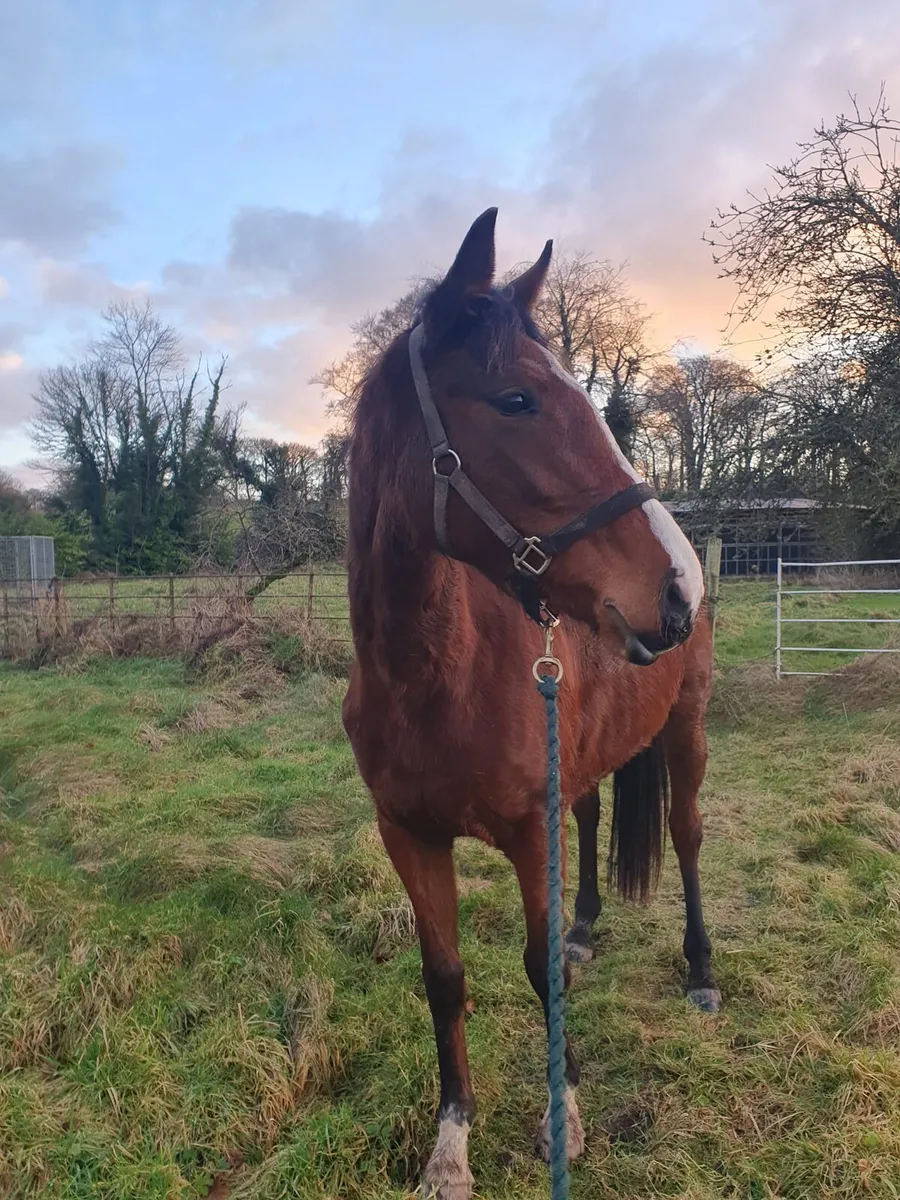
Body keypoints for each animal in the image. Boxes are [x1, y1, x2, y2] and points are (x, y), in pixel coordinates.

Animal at [342, 208, 718, 1199]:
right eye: (516, 401)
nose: (677, 586)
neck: (432, 675)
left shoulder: (526, 830)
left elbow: (540, 972)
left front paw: (564, 1119)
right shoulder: (410, 834)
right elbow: (445, 976)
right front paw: (451, 1145)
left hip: (688, 731)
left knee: (689, 836)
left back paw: (702, 970)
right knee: (593, 818)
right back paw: (589, 924)